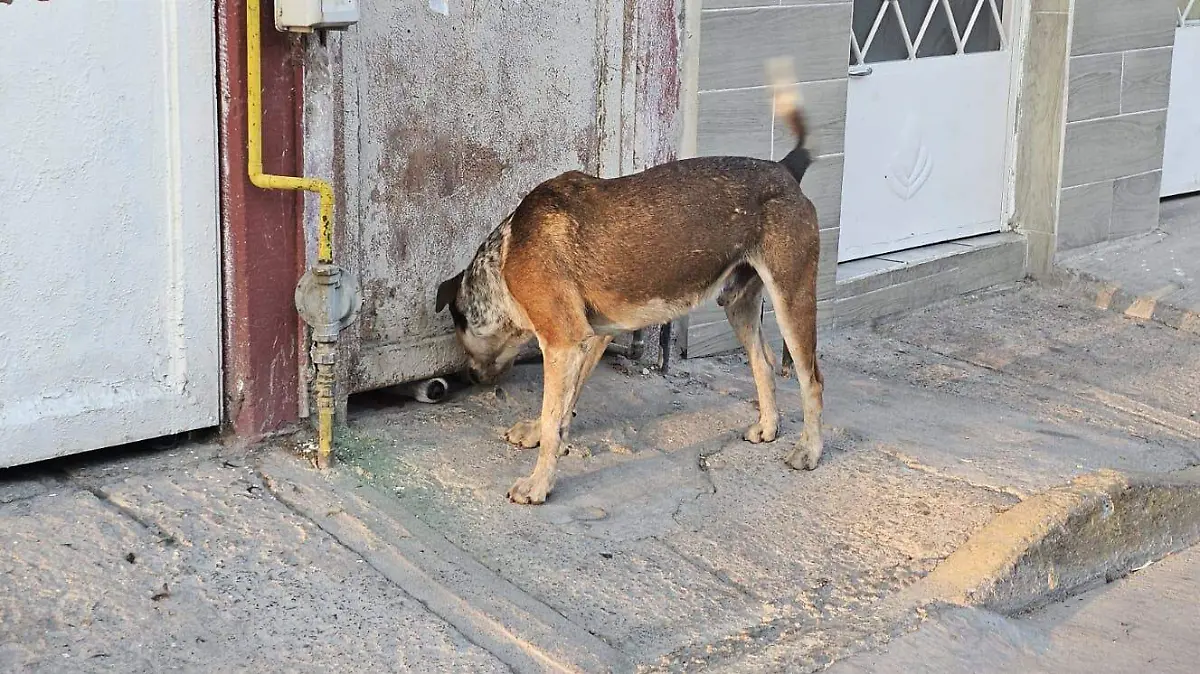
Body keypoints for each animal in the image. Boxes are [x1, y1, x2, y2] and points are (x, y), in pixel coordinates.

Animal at [439, 57, 825, 501]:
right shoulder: (593, 336)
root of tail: (785, 168)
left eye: (461, 334)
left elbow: (554, 413)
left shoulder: (563, 341)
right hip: (738, 302)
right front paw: (540, 434)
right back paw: (768, 426)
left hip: (792, 297)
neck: (505, 252)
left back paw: (809, 450)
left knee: (812, 379)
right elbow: (564, 405)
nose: (469, 378)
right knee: (763, 362)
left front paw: (538, 483)